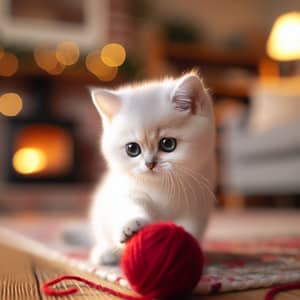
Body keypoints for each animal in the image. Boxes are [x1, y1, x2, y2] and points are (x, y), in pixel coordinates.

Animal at [89, 72, 216, 264]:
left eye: (168, 144)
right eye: (132, 149)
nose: (150, 164)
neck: (163, 186)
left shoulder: (197, 204)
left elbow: (191, 227)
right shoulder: (129, 191)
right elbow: (130, 207)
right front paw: (131, 226)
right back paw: (105, 253)